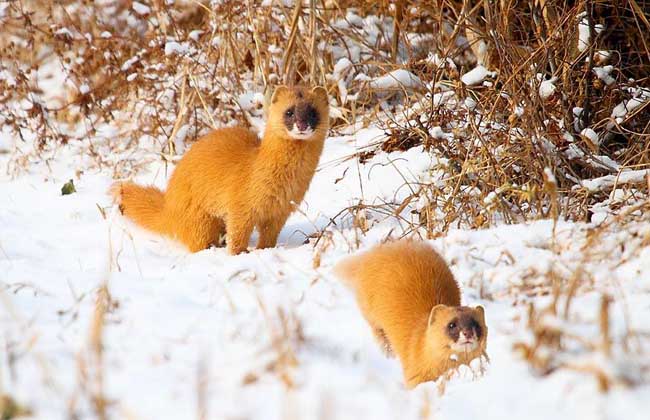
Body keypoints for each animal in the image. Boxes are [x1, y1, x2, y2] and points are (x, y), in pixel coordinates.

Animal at [109, 86, 330, 253]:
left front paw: (264, 250)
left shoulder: (281, 211)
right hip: (199, 216)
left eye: (313, 111)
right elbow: (238, 232)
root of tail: (169, 204)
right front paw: (239, 253)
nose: (302, 125)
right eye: (289, 111)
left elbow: (269, 235)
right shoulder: (239, 205)